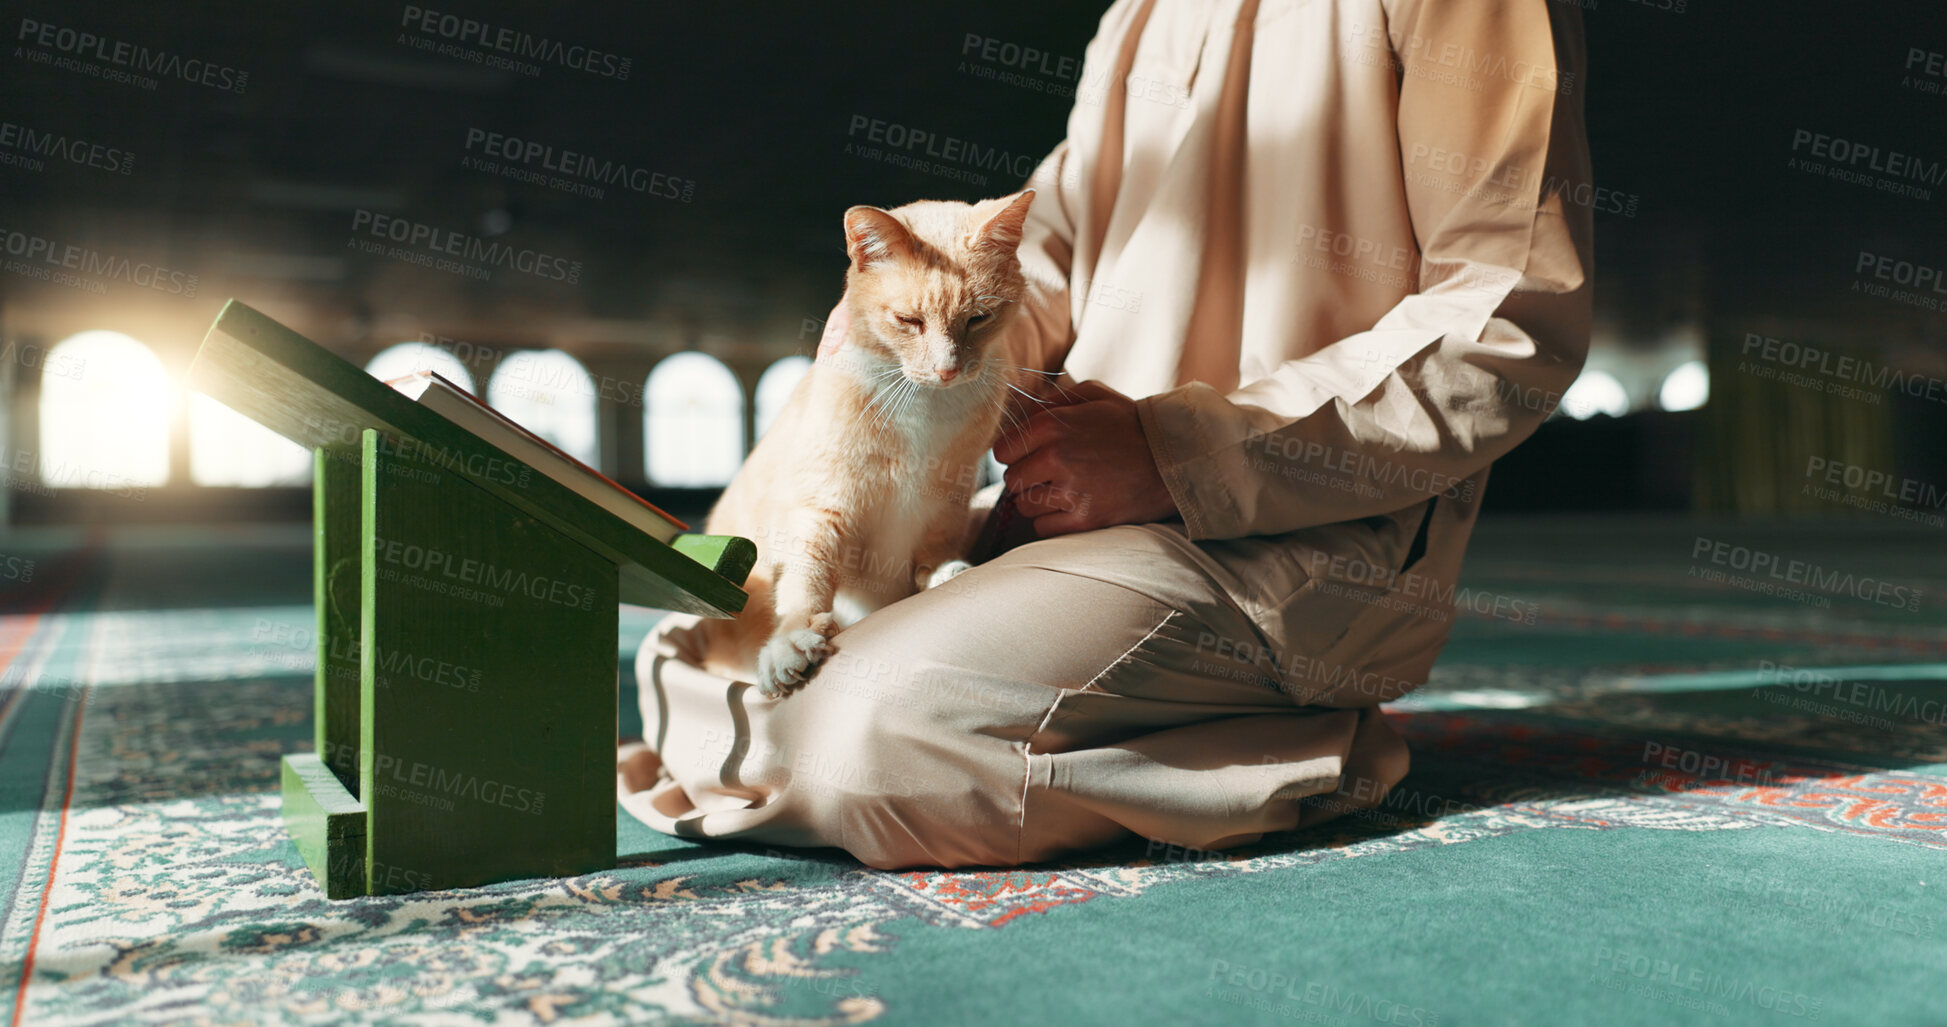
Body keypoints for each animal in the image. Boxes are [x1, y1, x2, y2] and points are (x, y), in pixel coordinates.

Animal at [697, 190, 1035, 697]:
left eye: (979, 318)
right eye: (909, 321)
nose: (948, 370)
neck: (923, 404)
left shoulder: (951, 492)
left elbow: (937, 541)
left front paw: (941, 571)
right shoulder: (823, 506)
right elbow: (806, 579)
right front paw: (791, 642)